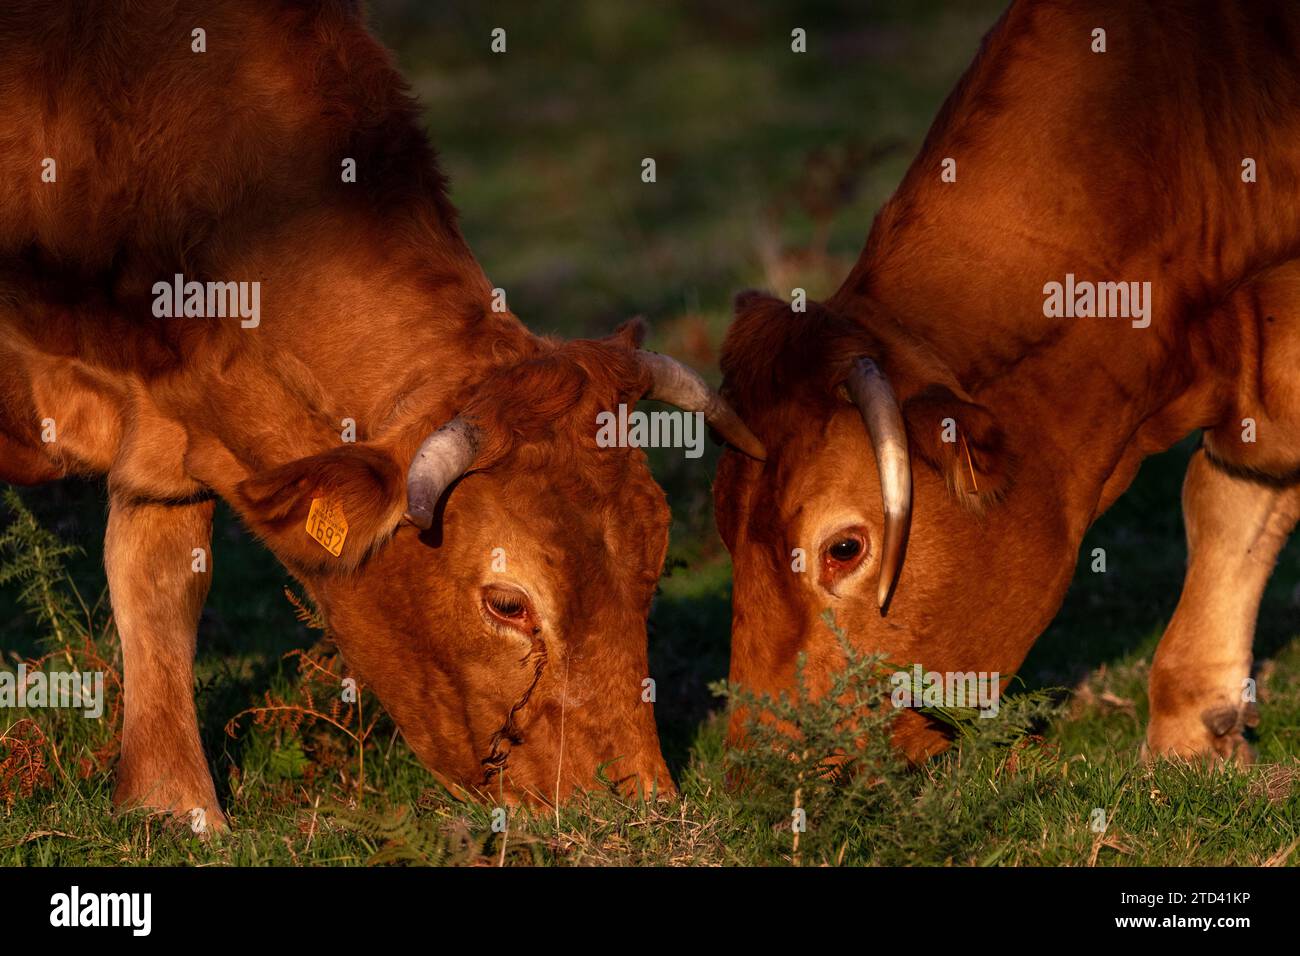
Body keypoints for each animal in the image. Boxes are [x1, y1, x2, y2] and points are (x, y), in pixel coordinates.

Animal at [0, 0, 764, 829]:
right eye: (507, 603)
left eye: (655, 564)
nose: (638, 813)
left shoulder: (173, 427)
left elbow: (159, 587)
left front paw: (172, 807)